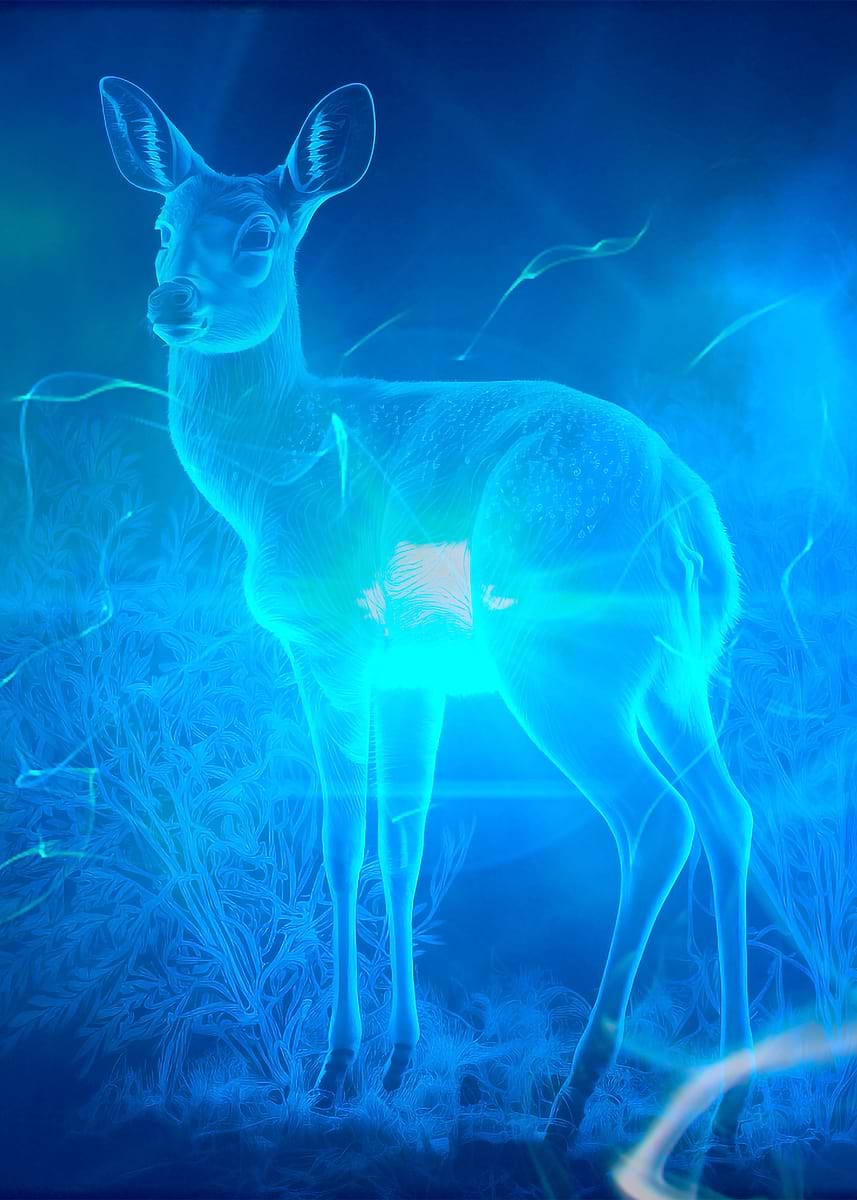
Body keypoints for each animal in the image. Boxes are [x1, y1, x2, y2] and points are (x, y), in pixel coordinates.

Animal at [99, 76, 754, 1146]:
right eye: (161, 226)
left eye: (259, 233)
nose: (172, 298)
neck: (280, 461)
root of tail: (683, 515)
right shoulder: (416, 671)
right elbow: (401, 842)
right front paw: (398, 1064)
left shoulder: (329, 645)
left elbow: (339, 845)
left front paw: (334, 1075)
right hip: (674, 674)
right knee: (729, 813)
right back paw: (725, 1118)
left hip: (559, 660)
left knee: (654, 820)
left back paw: (569, 1107)